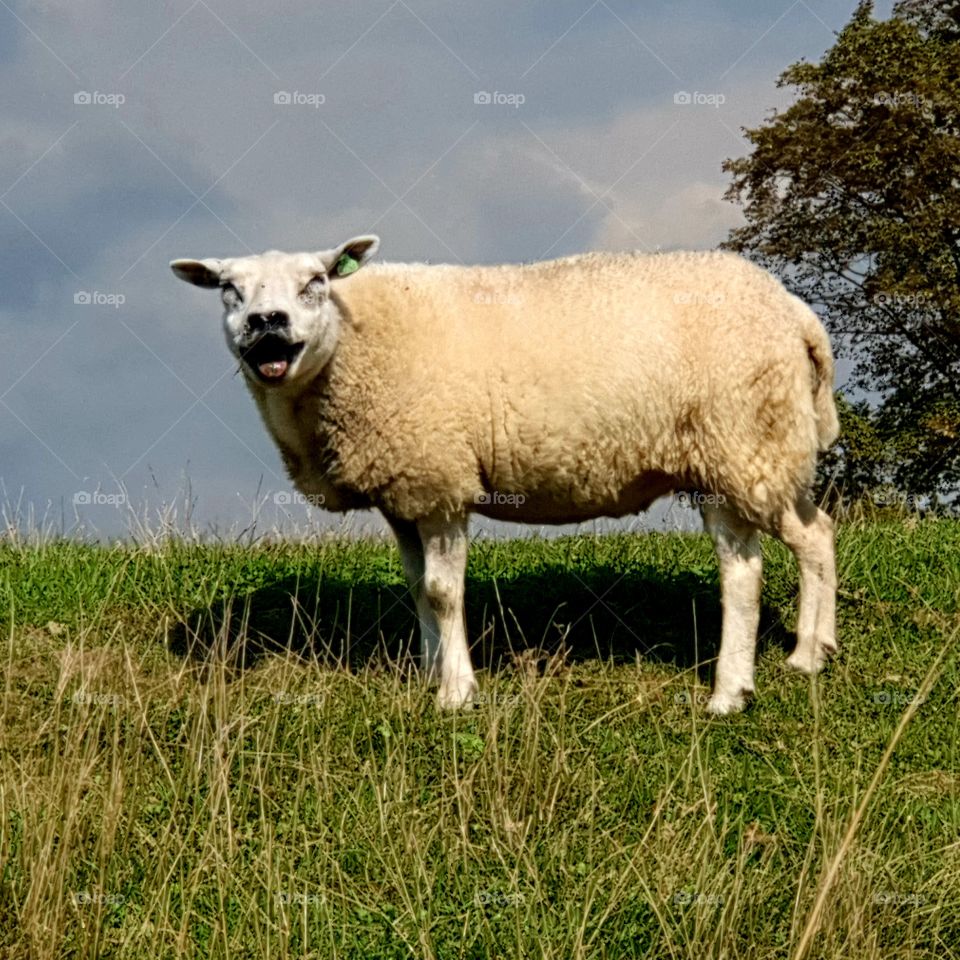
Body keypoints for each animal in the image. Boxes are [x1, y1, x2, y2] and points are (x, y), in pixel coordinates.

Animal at [170, 236, 839, 714]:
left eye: (316, 282)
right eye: (228, 289)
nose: (268, 321)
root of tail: (795, 313)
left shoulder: (439, 480)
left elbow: (443, 592)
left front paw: (456, 693)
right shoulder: (403, 494)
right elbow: (417, 588)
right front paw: (429, 672)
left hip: (734, 442)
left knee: (747, 569)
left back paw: (732, 693)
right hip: (761, 448)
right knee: (815, 534)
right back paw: (809, 655)